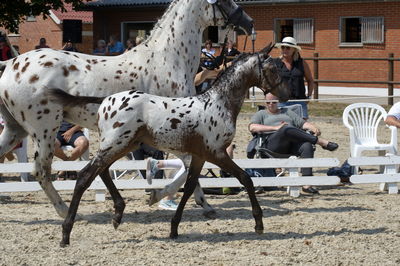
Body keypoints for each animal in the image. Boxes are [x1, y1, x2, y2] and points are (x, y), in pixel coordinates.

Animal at [0, 0, 252, 217]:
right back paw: (66, 211)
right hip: (44, 130)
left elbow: (188, 166)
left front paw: (194, 202)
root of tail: (11, 64)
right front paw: (165, 196)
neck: (167, 61)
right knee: (41, 170)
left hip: (15, 129)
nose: (248, 22)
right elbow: (188, 166)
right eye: (225, 0)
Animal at [48, 43, 290, 245]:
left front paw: (174, 228)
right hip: (115, 144)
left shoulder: (200, 156)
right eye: (273, 68)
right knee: (85, 176)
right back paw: (66, 234)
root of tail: (106, 100)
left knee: (103, 171)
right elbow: (245, 178)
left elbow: (190, 186)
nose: (286, 95)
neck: (218, 103)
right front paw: (259, 224)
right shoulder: (217, 153)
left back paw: (117, 215)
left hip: (123, 145)